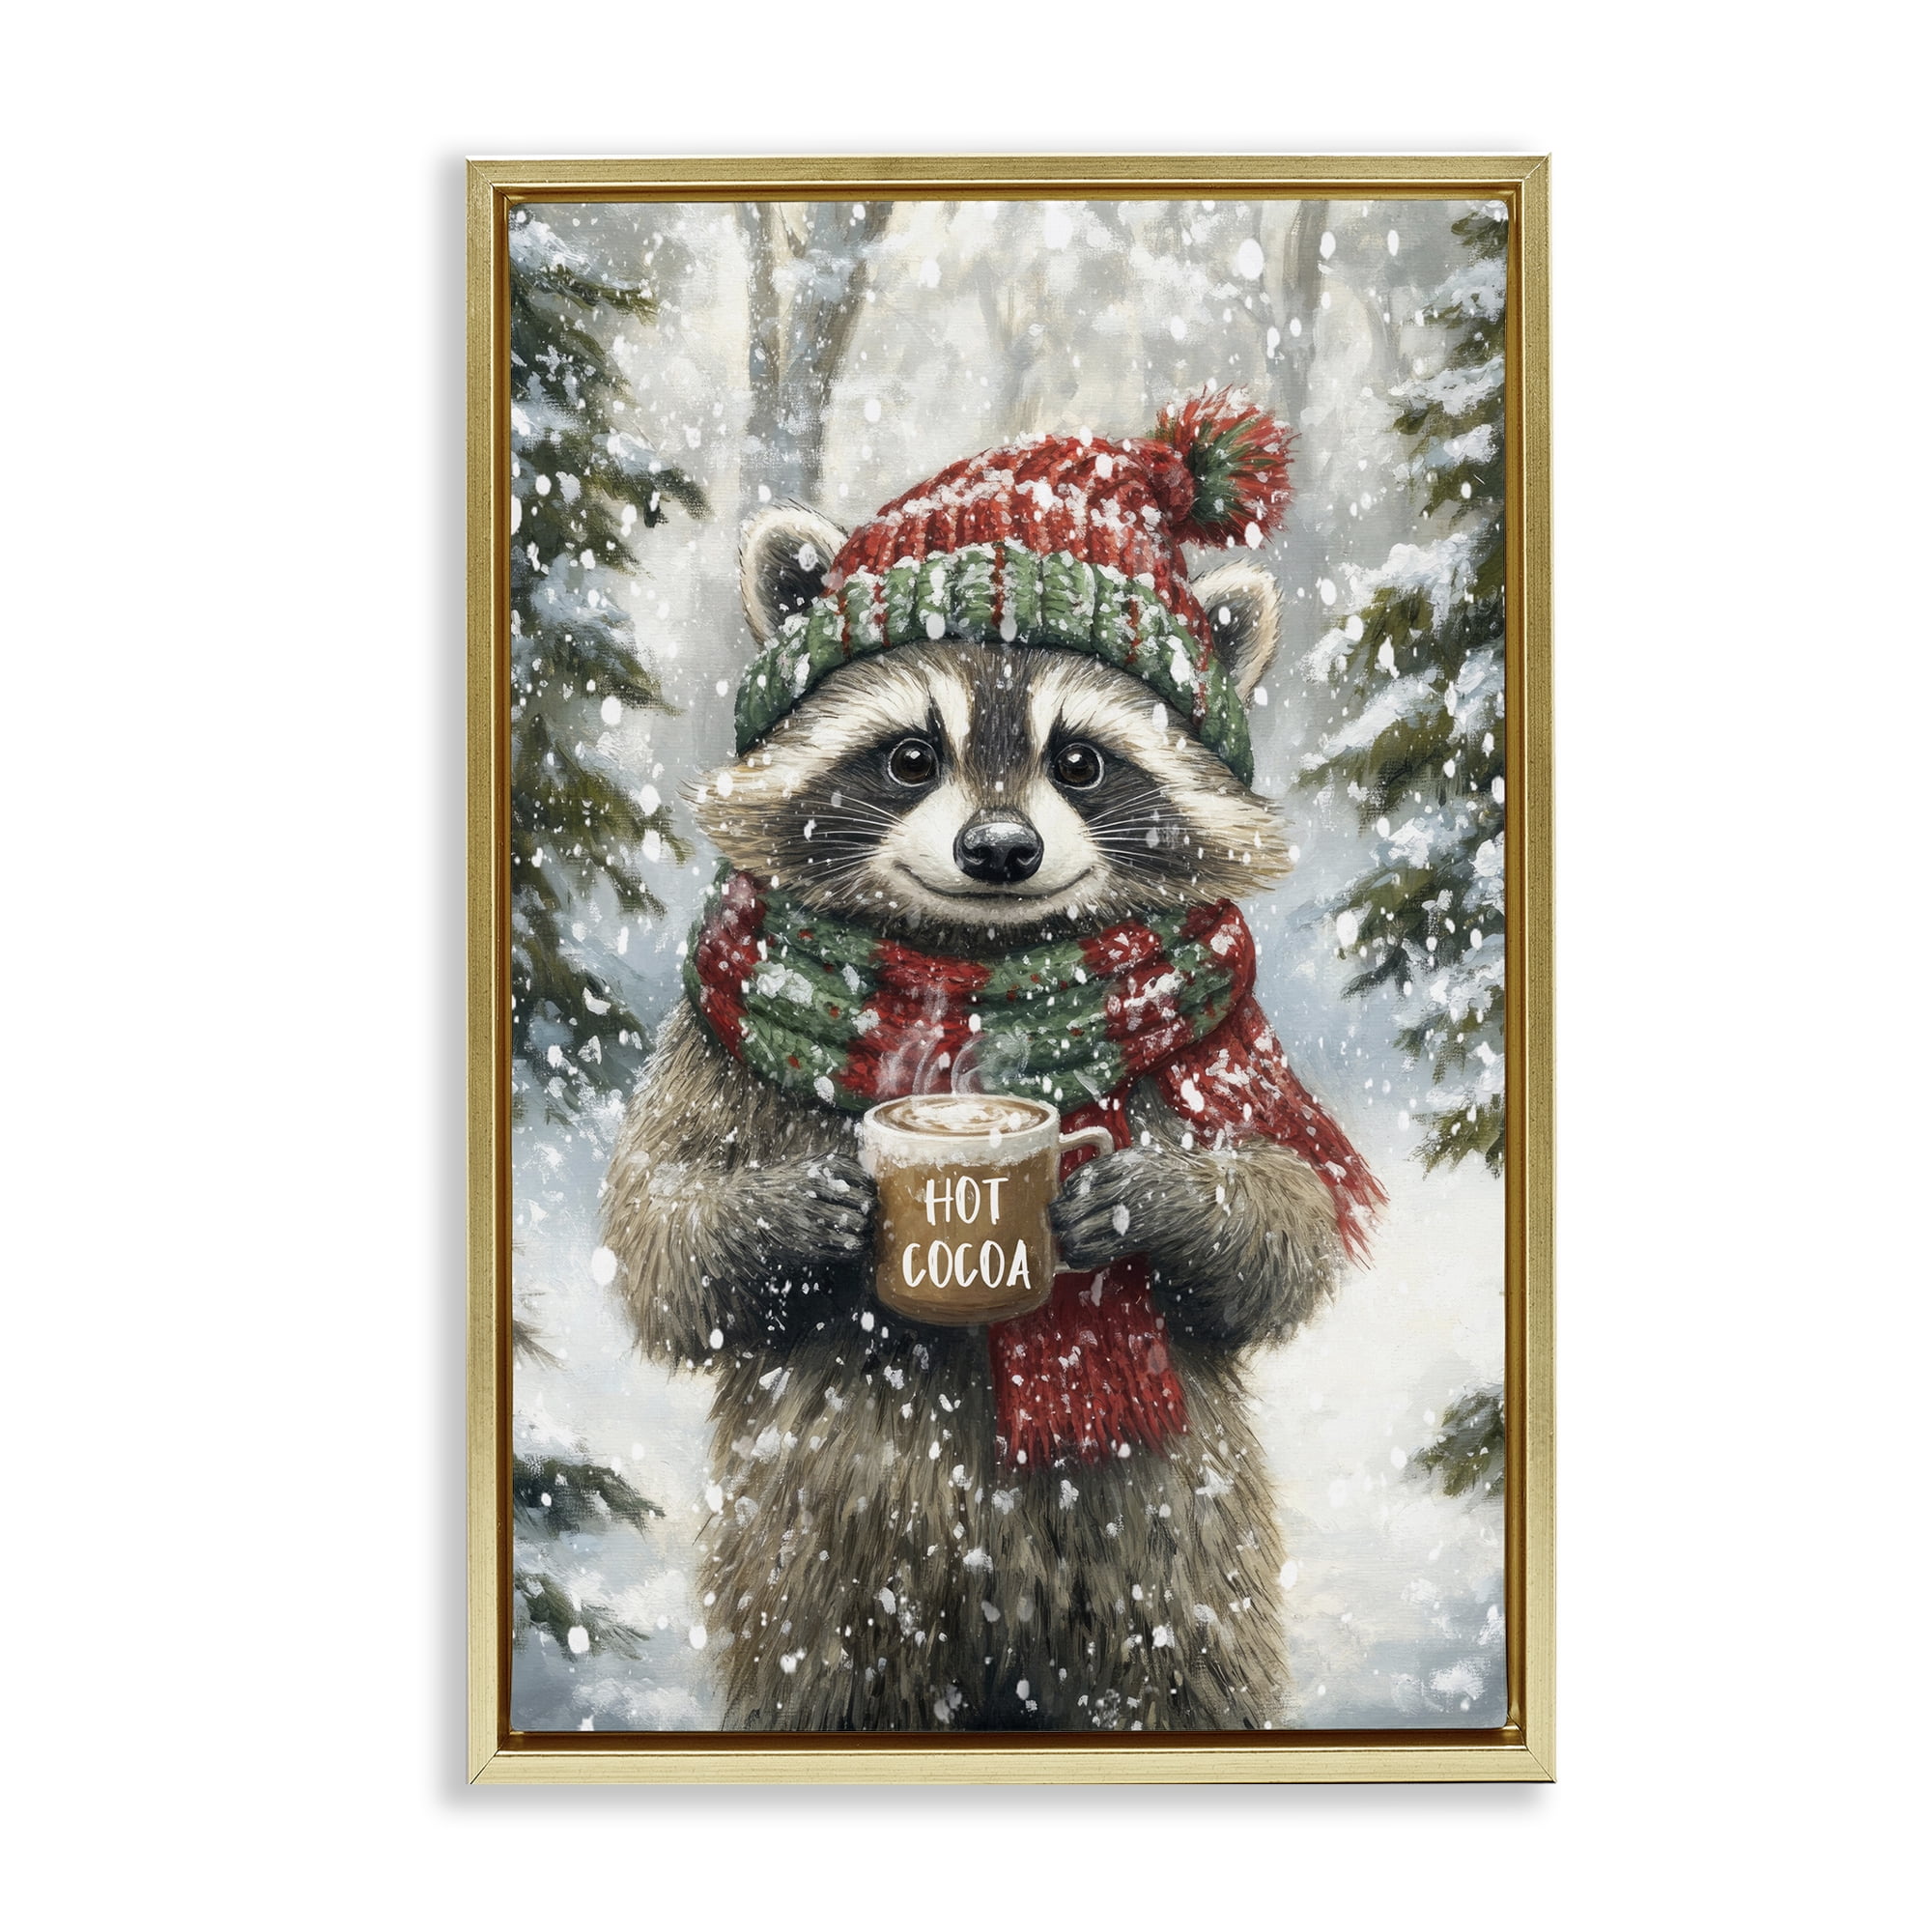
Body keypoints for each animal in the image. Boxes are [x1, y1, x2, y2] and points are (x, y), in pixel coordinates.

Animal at [599, 494, 1354, 1734]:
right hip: (812, 1568)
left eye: (1079, 761)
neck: (974, 965)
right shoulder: (707, 1050)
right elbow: (662, 1232)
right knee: (823, 1678)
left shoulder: (1219, 1052)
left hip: (1175, 1557)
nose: (999, 849)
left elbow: (1285, 1218)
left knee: (1183, 1673)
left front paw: (1146, 1197)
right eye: (911, 756)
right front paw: (799, 1208)